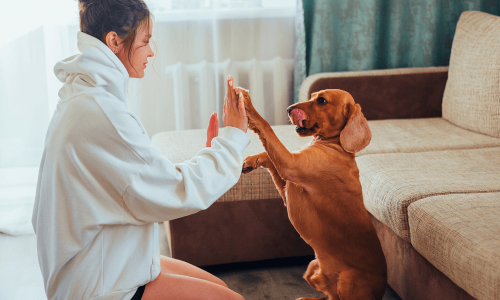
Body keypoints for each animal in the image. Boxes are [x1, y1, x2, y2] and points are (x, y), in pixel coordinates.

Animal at [237, 88, 386, 298]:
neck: (336, 145)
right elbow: (268, 154)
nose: (289, 108)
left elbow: (266, 127)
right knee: (328, 295)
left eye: (322, 101)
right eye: (312, 96)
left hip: (346, 280)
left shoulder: (290, 164)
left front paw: (248, 105)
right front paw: (250, 161)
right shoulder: (287, 186)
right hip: (312, 267)